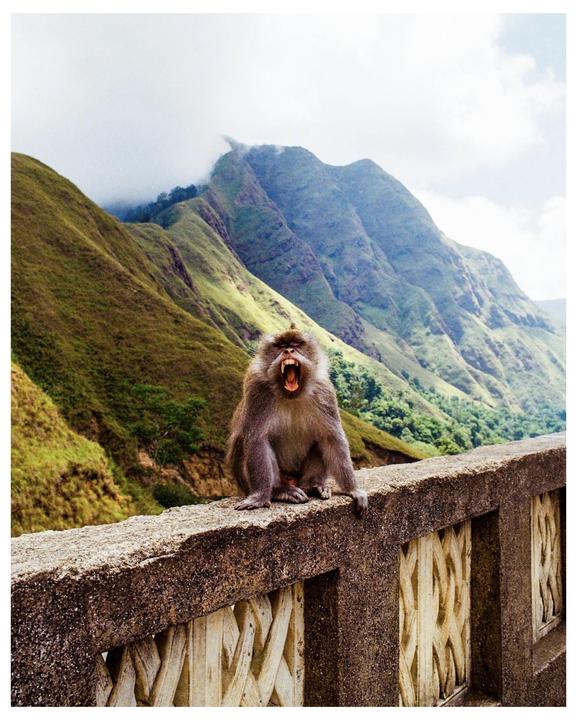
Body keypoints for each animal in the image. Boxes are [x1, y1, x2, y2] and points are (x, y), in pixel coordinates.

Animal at [226, 326, 368, 517]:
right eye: (281, 345)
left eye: (296, 344)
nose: (288, 351)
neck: (291, 395)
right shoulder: (257, 389)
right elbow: (257, 440)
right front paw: (260, 497)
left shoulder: (324, 391)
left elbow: (332, 439)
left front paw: (352, 489)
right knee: (245, 444)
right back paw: (279, 491)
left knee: (320, 443)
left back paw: (313, 486)